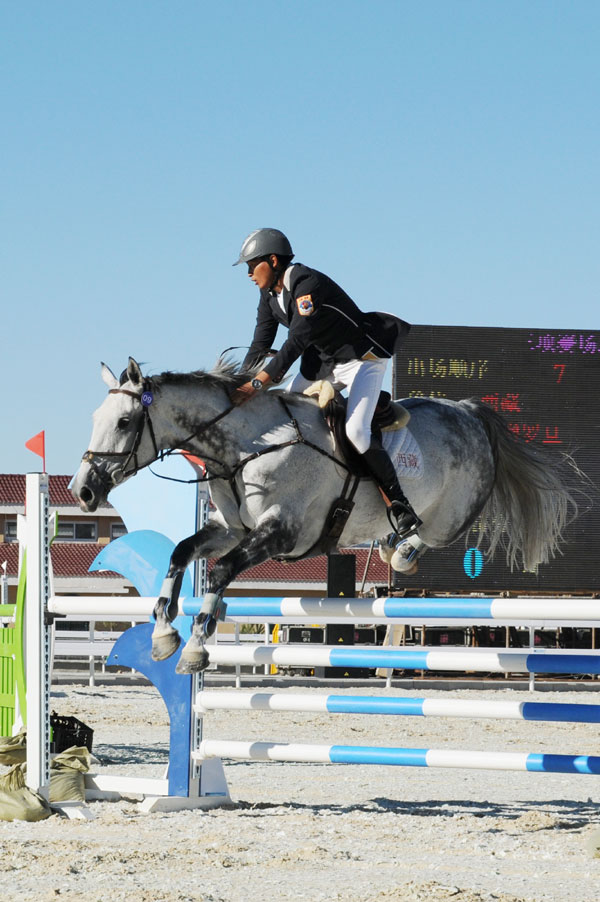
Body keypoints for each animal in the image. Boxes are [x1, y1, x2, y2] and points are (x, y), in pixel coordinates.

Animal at [72, 356, 580, 676]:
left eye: (123, 422)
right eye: (95, 418)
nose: (83, 490)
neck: (247, 445)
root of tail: (469, 411)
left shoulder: (282, 532)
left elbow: (219, 571)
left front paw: (195, 648)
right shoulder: (231, 528)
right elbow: (181, 553)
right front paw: (162, 634)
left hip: (453, 513)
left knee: (434, 535)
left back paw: (401, 549)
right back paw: (391, 545)